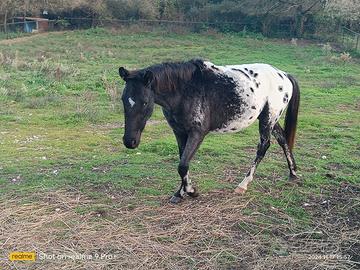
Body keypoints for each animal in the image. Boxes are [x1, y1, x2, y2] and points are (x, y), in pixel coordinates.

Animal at [119, 58, 300, 202]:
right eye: (123, 100)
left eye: (144, 102)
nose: (130, 141)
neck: (185, 90)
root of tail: (284, 74)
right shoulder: (179, 132)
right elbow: (183, 161)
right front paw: (180, 193)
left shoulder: (197, 133)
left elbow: (182, 165)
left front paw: (192, 191)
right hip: (269, 119)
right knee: (282, 139)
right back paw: (293, 173)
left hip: (268, 119)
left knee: (264, 146)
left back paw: (243, 185)